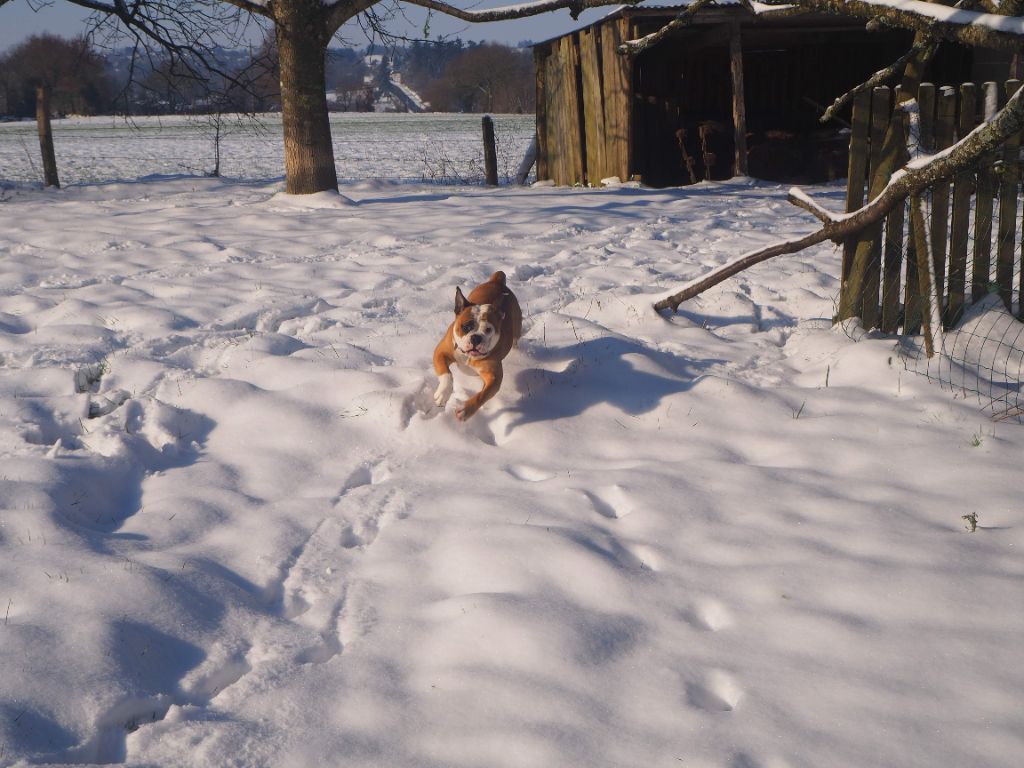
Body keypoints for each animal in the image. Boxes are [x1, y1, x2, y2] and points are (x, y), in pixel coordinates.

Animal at [434, 272, 524, 421]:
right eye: (466, 327)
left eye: (488, 329)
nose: (476, 337)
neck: (468, 356)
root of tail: (497, 281)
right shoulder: (441, 352)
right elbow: (446, 374)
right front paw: (443, 394)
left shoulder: (494, 377)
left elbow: (483, 395)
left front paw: (466, 410)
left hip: (516, 329)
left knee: (516, 340)